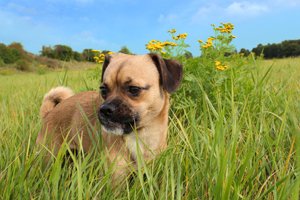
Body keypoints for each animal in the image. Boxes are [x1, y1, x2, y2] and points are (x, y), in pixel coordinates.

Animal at [35, 52, 183, 183]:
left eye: (134, 89)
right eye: (103, 90)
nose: (104, 109)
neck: (139, 135)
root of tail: (49, 113)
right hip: (48, 157)